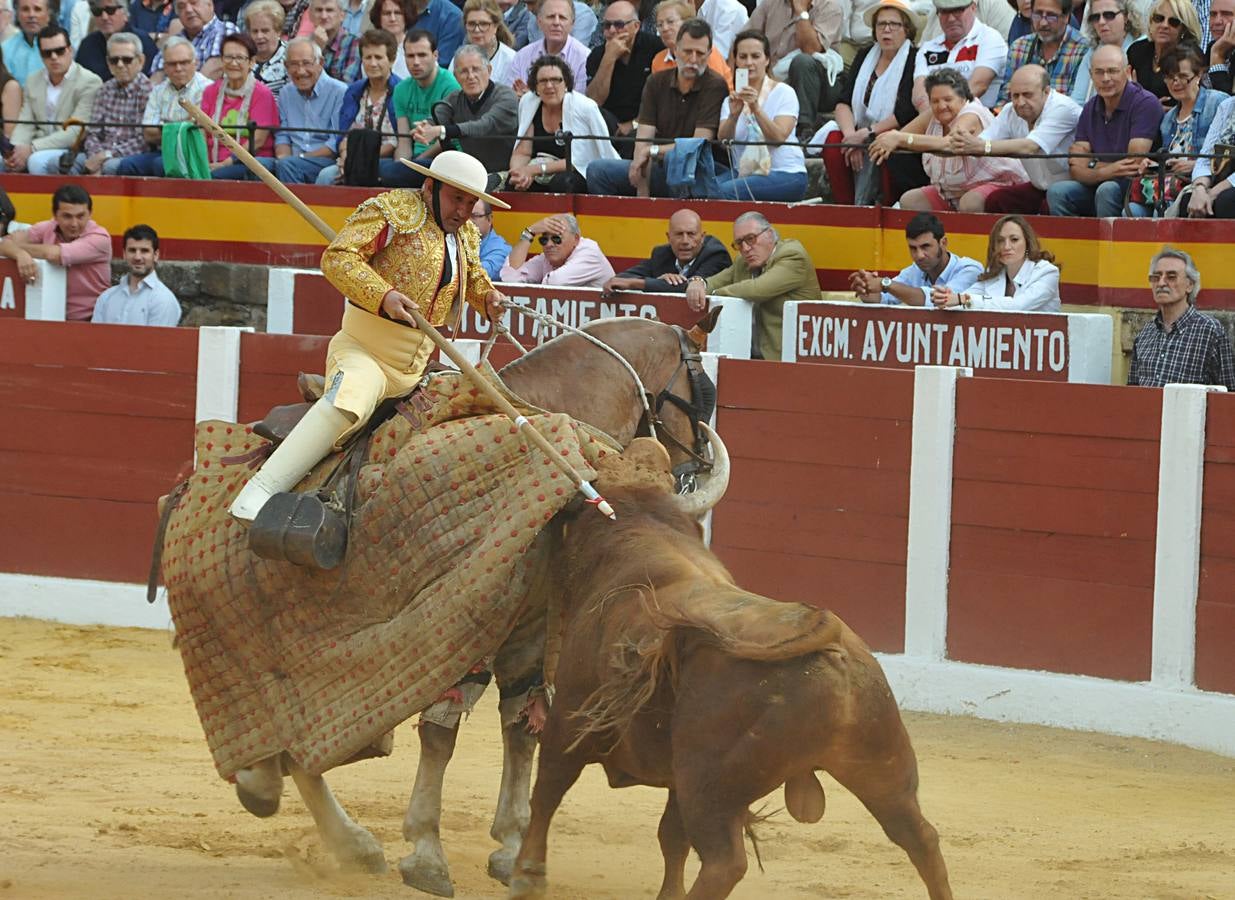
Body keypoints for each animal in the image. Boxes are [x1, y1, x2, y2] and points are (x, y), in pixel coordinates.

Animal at [506, 474, 948, 893]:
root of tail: (831, 637)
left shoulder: (568, 720)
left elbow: (547, 792)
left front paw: (526, 875)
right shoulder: (672, 776)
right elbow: (671, 838)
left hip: (709, 788)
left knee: (725, 863)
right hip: (884, 769)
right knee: (921, 838)